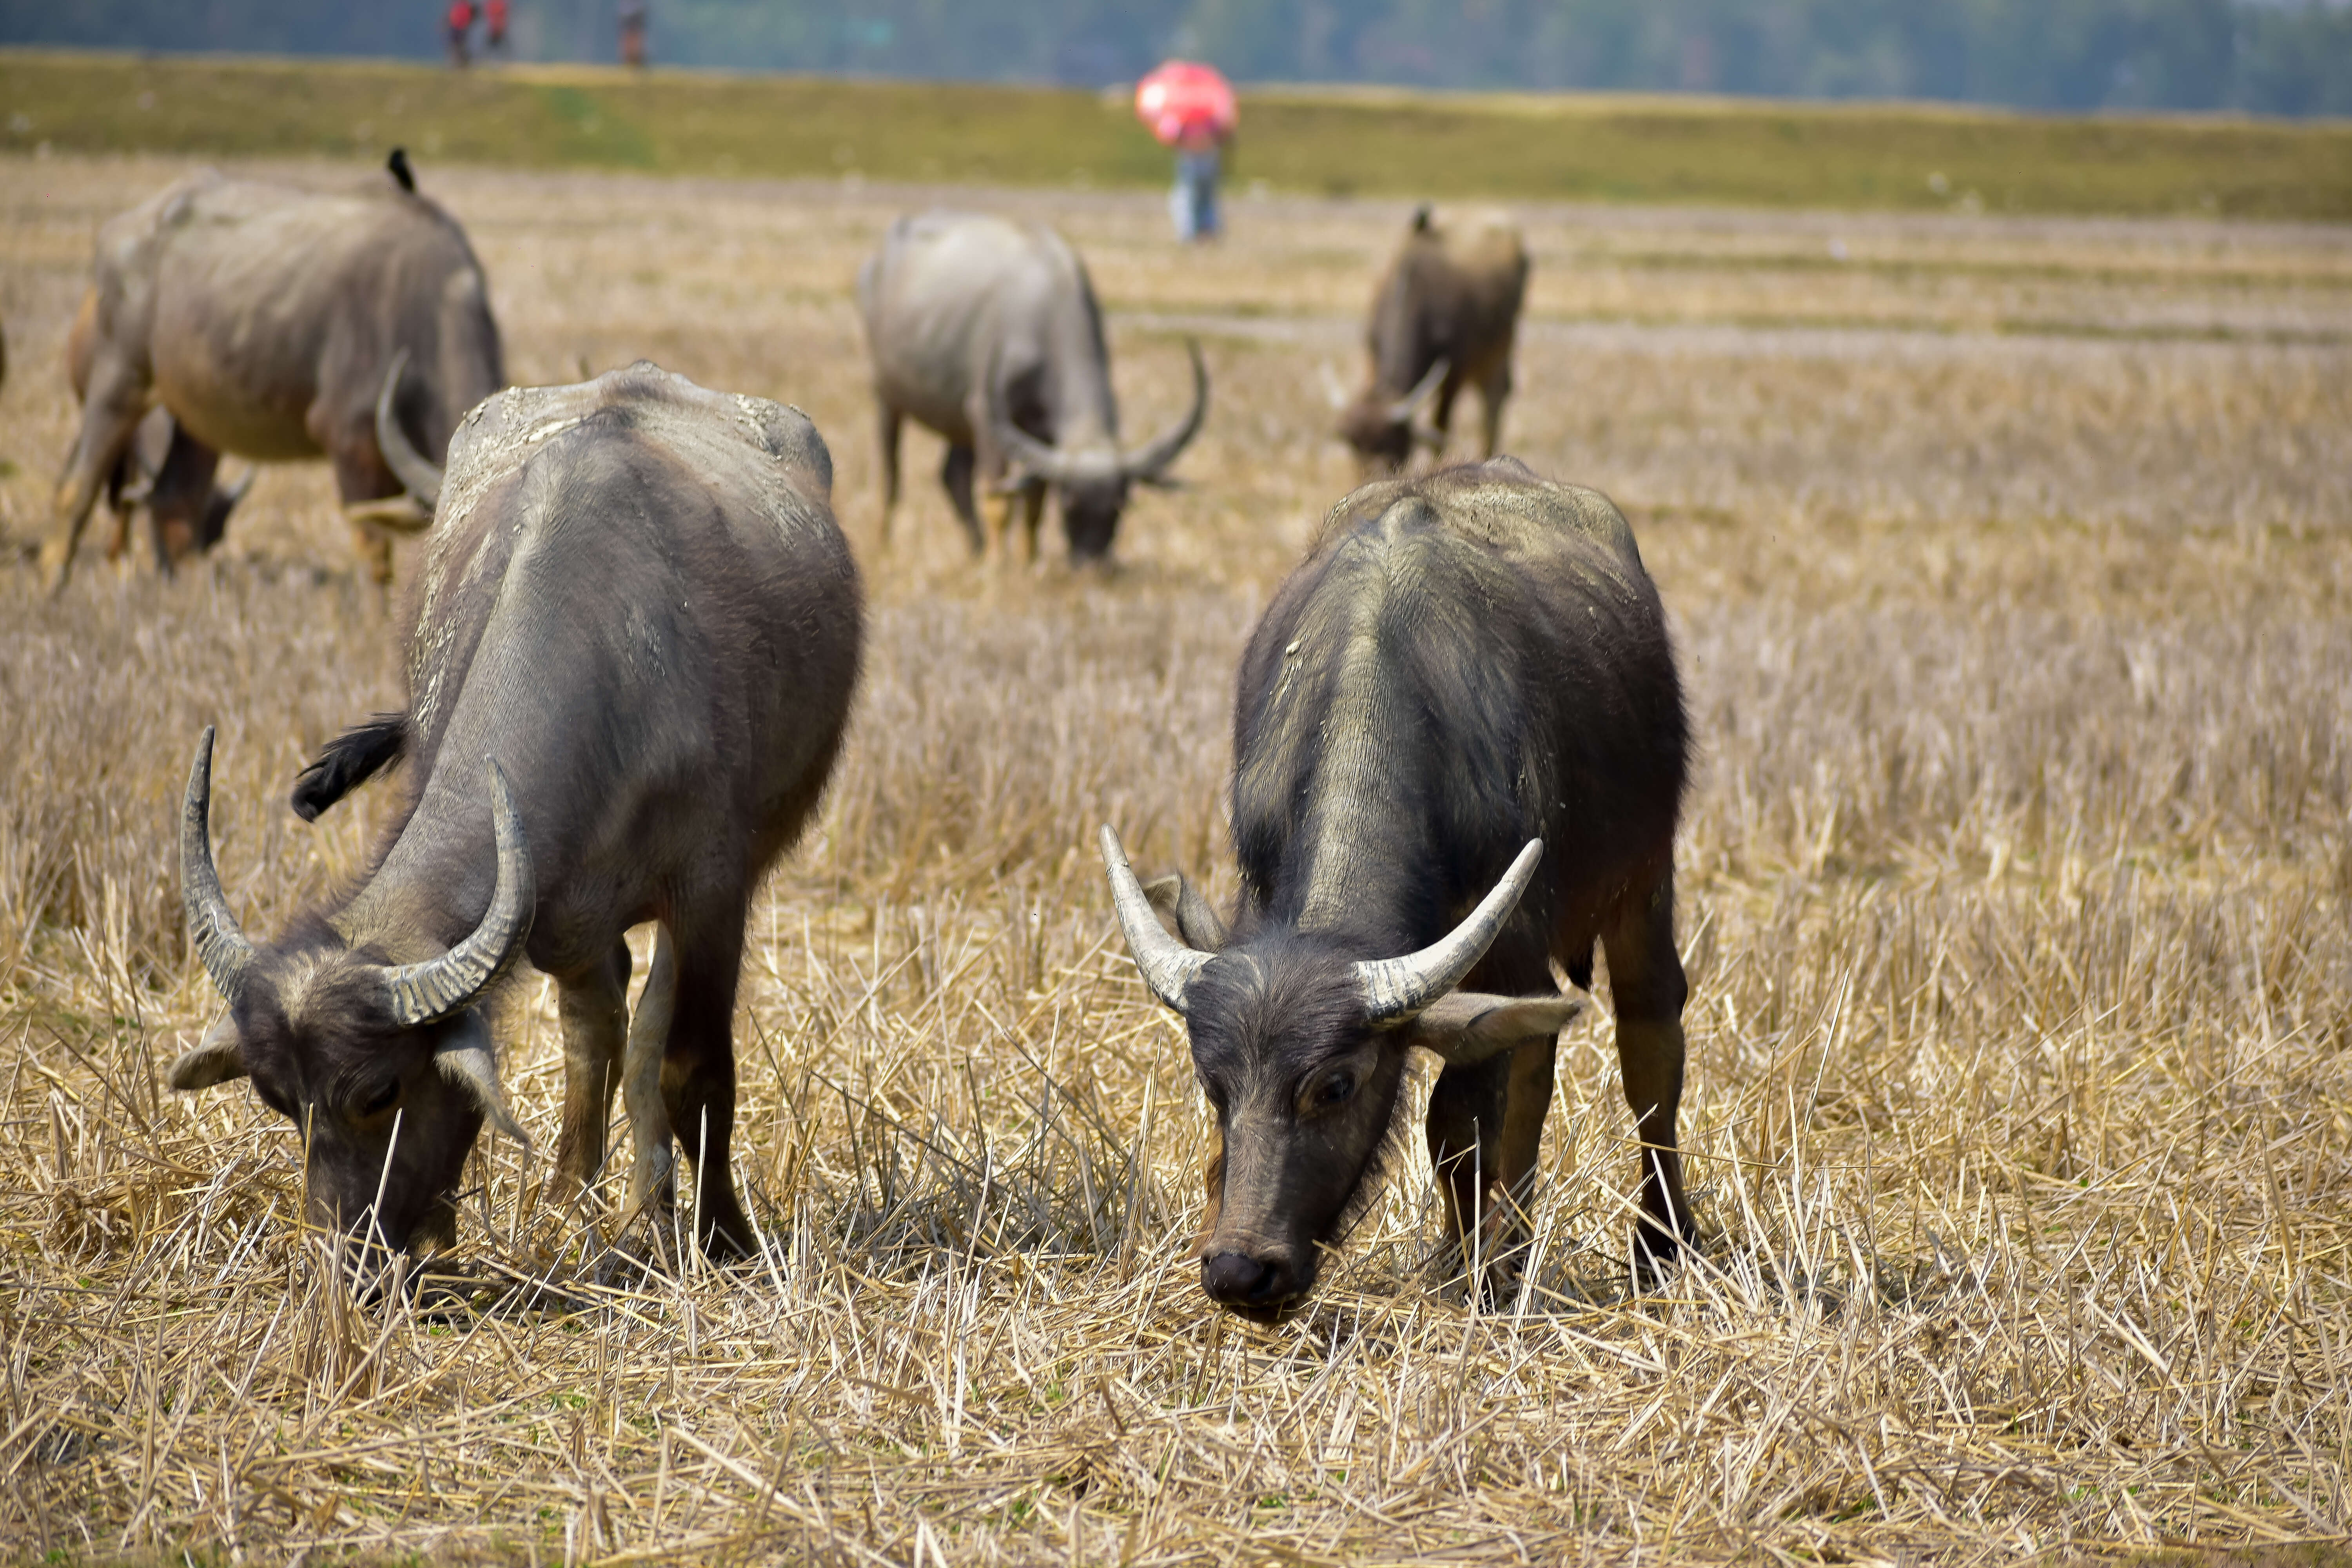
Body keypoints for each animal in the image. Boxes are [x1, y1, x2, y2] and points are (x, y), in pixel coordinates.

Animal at [39, 150, 499, 592]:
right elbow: (374, 557)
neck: (426, 305)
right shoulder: (350, 445)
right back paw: (52, 590)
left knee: (176, 501)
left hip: (194, 421)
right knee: (75, 489)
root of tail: (123, 228)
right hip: (119, 383)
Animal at [168, 362, 866, 1260]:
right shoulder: (556, 909)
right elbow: (595, 1031)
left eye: (379, 1092)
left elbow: (696, 1066)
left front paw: (726, 1238)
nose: (347, 1259)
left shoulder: (713, 893)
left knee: (650, 1031)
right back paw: (587, 1188)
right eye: (280, 1100)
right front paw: (576, 1196)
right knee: (603, 1023)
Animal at [856, 208, 1204, 564]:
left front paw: (1029, 560)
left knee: (953, 476)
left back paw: (975, 550)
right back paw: (885, 543)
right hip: (888, 399)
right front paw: (998, 565)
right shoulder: (987, 416)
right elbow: (998, 501)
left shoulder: (1041, 432)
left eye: (1119, 507)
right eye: (1069, 504)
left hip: (958, 423)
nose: (1092, 563)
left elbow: (1035, 499)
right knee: (890, 476)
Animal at [1101, 454, 1693, 1316]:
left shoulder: (1509, 943)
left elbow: (1460, 1126)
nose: (1241, 1271)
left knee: (1648, 1040)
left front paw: (1466, 1276)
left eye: (1335, 1086)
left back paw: (1657, 1246)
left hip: (1645, 879)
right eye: (1214, 1083)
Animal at [1336, 208, 1534, 479]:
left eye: (1390, 448)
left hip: (1501, 347)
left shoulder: (1455, 372)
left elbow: (1440, 427)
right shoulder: (1372, 352)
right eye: (1355, 448)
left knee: (1494, 400)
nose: (1369, 477)